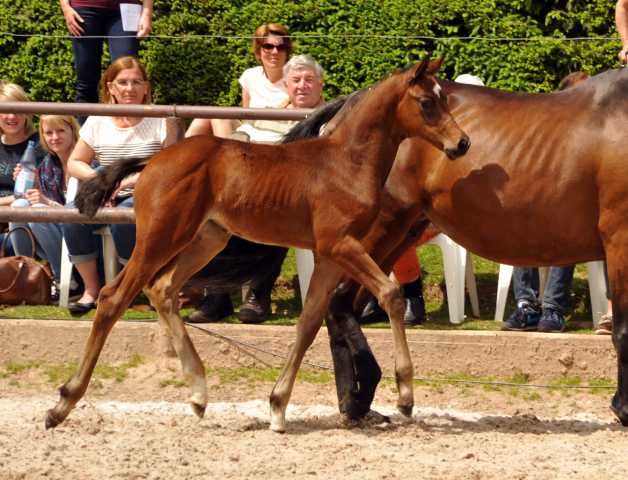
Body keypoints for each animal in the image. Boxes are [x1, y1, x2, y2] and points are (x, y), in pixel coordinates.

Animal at [312, 67, 628, 428]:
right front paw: (623, 409)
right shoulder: (619, 239)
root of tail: (350, 104)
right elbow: (623, 331)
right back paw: (360, 396)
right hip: (377, 230)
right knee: (338, 304)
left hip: (399, 234)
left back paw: (356, 401)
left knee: (347, 304)